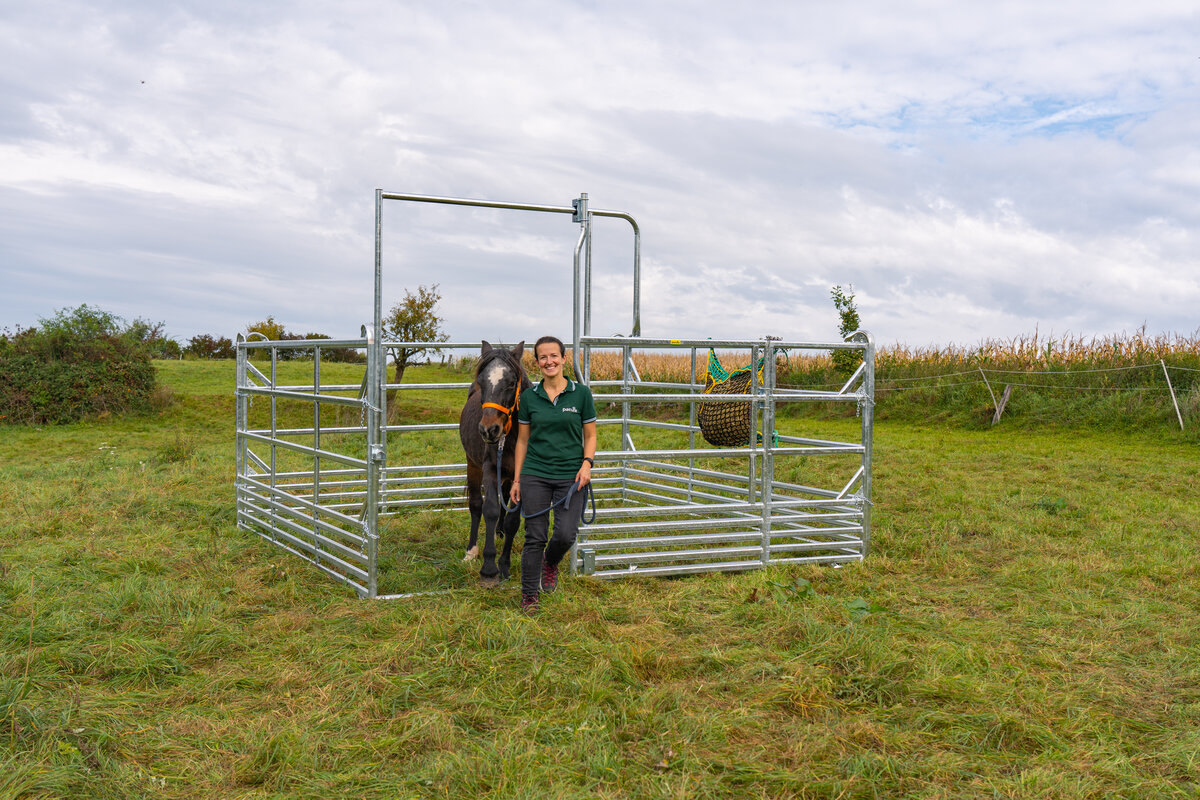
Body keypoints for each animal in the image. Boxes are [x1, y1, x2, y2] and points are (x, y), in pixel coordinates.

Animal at [456, 340, 528, 587]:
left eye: (512, 383)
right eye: (482, 381)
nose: (489, 430)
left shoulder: (521, 477)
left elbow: (513, 519)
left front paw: (504, 566)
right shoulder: (489, 469)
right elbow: (489, 510)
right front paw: (489, 569)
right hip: (472, 464)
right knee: (476, 505)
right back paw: (471, 551)